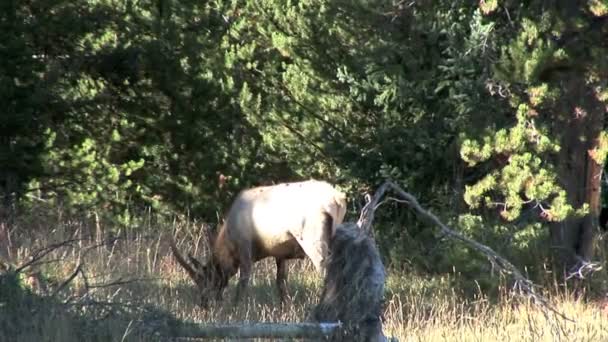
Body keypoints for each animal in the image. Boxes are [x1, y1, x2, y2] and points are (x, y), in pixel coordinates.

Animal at [169, 180, 346, 306]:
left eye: (203, 279)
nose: (203, 303)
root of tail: (337, 200)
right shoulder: (280, 252)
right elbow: (280, 281)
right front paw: (285, 306)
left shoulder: (245, 247)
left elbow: (243, 280)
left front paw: (235, 307)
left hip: (312, 238)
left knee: (325, 269)